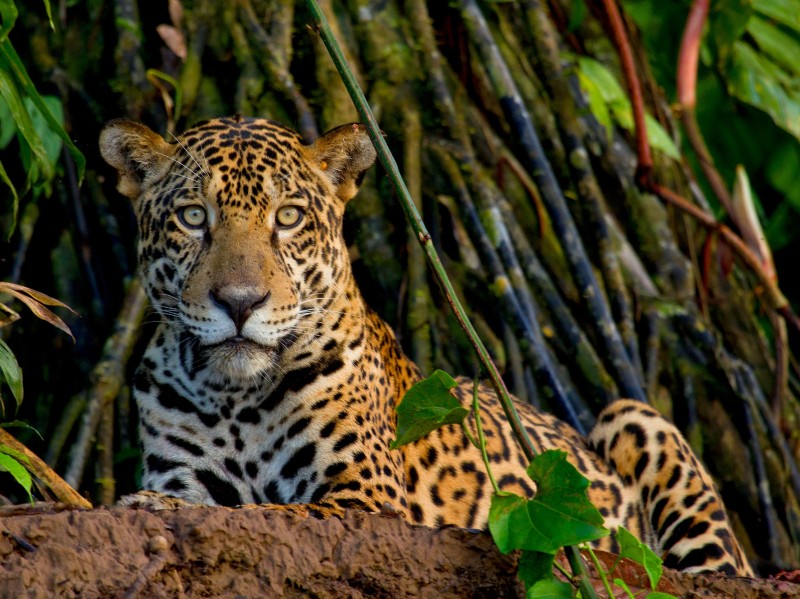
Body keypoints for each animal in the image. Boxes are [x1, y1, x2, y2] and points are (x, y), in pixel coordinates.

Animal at [99, 115, 752, 576]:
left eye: (287, 217)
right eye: (192, 217)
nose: (239, 303)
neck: (234, 395)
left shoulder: (362, 498)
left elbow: (263, 511)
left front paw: (159, 510)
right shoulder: (184, 469)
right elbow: (216, 502)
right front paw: (161, 507)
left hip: (635, 418)